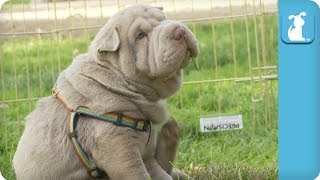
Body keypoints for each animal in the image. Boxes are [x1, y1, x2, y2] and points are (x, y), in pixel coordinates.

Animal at [13, 3, 199, 180]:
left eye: (164, 18)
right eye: (140, 36)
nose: (179, 30)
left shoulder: (144, 153)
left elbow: (159, 172)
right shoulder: (120, 149)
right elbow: (139, 174)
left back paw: (171, 135)